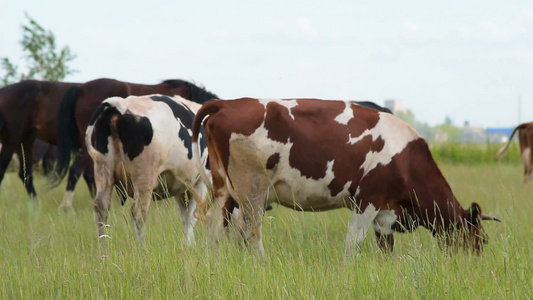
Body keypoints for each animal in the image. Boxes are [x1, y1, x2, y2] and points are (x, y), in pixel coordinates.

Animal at [86, 95, 209, 245]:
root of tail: (120, 104)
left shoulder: (182, 186)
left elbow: (186, 217)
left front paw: (189, 245)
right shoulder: (200, 181)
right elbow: (193, 216)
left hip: (103, 172)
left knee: (101, 210)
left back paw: (104, 248)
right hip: (144, 178)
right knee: (138, 213)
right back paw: (142, 247)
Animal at [191, 97, 498, 254]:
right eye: (480, 241)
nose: (472, 267)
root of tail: (229, 103)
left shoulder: (386, 213)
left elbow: (386, 248)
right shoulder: (368, 200)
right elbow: (353, 242)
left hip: (223, 189)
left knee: (215, 227)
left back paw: (214, 262)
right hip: (252, 191)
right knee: (251, 231)